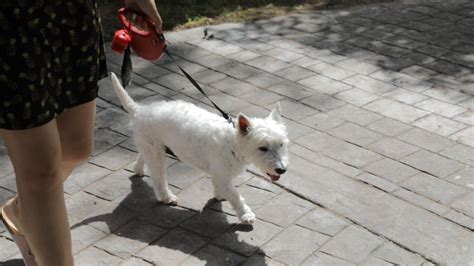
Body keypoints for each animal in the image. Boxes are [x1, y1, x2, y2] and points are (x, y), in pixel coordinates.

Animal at [110, 72, 288, 222]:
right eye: (263, 148)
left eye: (281, 144)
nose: (281, 170)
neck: (232, 143)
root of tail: (139, 110)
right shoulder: (222, 176)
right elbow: (236, 196)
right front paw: (246, 215)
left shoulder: (222, 175)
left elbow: (225, 190)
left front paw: (219, 196)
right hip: (156, 154)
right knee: (159, 178)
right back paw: (167, 197)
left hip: (153, 146)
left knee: (144, 156)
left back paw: (139, 169)